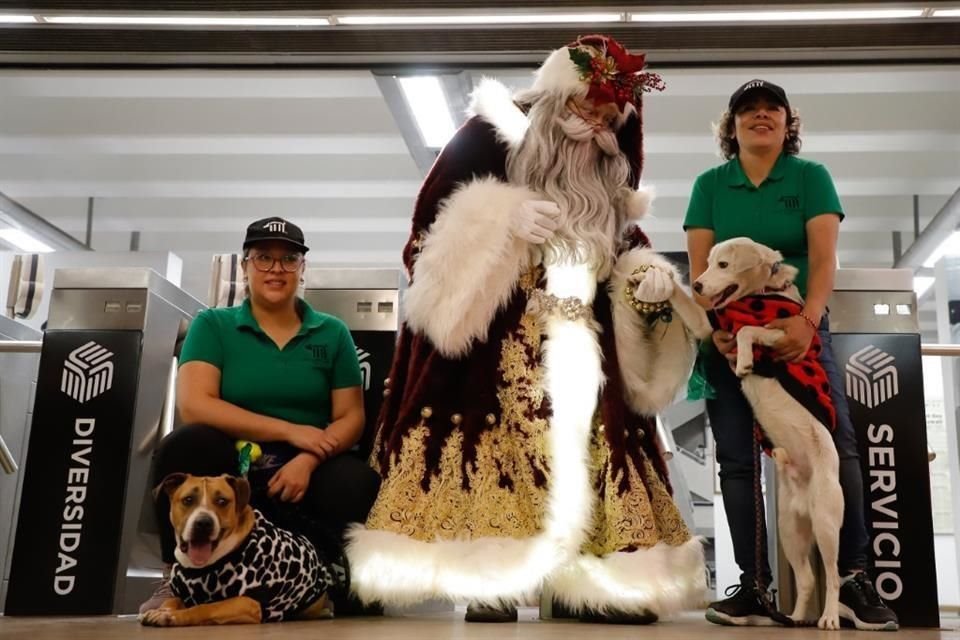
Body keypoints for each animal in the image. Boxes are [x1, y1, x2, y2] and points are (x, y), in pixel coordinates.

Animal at [141, 476, 338, 624]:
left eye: (222, 501)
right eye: (188, 500)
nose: (203, 523)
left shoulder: (247, 603)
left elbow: (206, 608)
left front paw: (173, 616)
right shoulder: (184, 594)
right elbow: (171, 599)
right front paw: (163, 610)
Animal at [632, 236, 844, 632]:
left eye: (724, 265)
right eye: (708, 263)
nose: (699, 284)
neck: (759, 294)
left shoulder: (783, 333)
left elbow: (749, 331)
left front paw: (745, 361)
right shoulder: (709, 326)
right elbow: (686, 303)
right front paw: (658, 279)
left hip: (826, 523)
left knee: (834, 573)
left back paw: (829, 618)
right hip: (790, 532)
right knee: (809, 578)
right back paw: (793, 619)